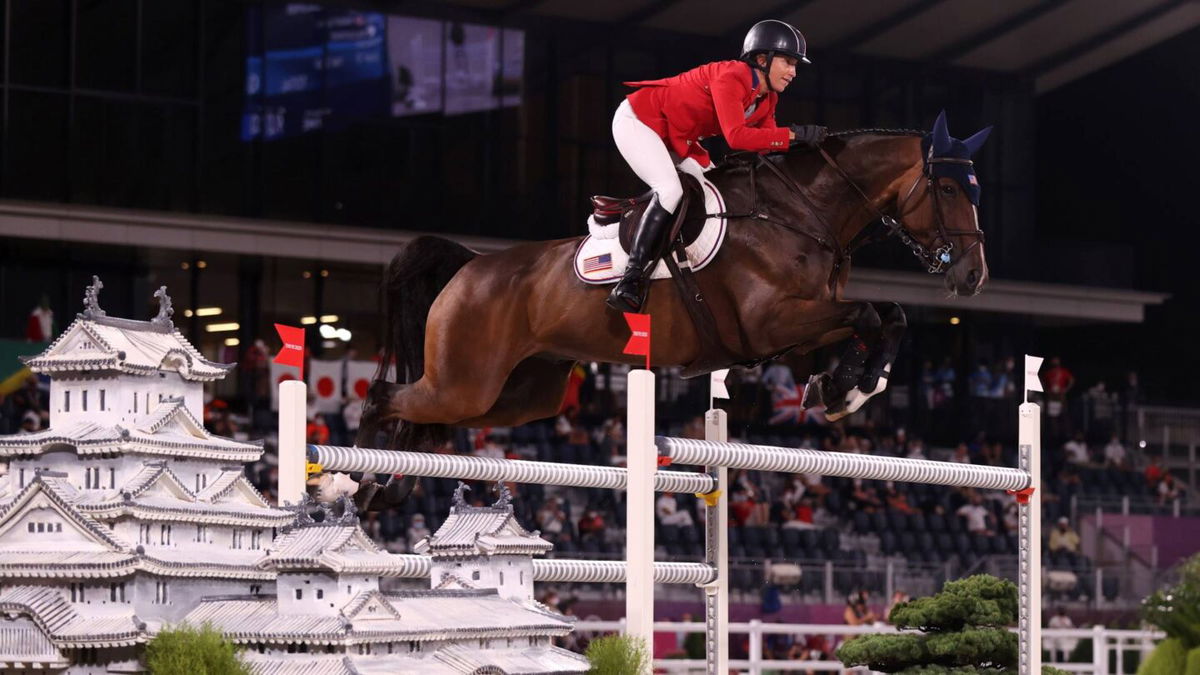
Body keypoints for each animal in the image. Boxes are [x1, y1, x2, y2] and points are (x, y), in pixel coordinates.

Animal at [350, 112, 988, 466]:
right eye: (949, 189)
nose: (973, 275)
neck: (801, 211)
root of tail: (470, 267)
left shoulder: (799, 326)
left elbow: (889, 314)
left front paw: (847, 388)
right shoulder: (773, 321)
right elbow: (870, 315)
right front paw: (841, 390)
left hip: (520, 394)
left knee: (421, 418)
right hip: (465, 380)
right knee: (383, 398)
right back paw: (351, 490)